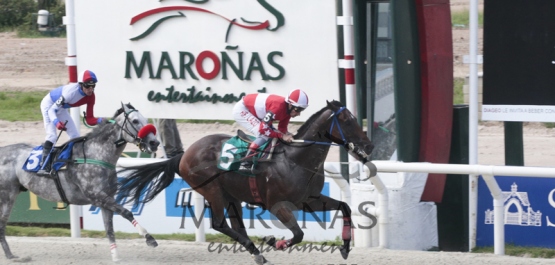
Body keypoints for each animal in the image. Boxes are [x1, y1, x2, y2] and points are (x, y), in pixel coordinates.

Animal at [0, 102, 161, 260]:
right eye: (135, 121)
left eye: (146, 120)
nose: (154, 143)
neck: (96, 156)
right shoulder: (97, 196)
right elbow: (126, 213)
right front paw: (150, 239)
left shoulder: (105, 199)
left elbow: (109, 229)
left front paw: (116, 257)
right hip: (7, 195)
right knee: (2, 223)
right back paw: (10, 255)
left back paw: (10, 254)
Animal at [116, 100, 374, 262]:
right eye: (347, 120)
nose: (369, 145)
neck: (295, 160)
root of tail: (184, 154)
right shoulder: (277, 206)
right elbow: (299, 234)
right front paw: (274, 241)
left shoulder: (309, 199)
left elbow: (345, 207)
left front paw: (345, 247)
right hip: (212, 191)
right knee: (219, 224)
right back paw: (258, 248)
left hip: (232, 197)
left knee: (236, 225)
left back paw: (257, 253)